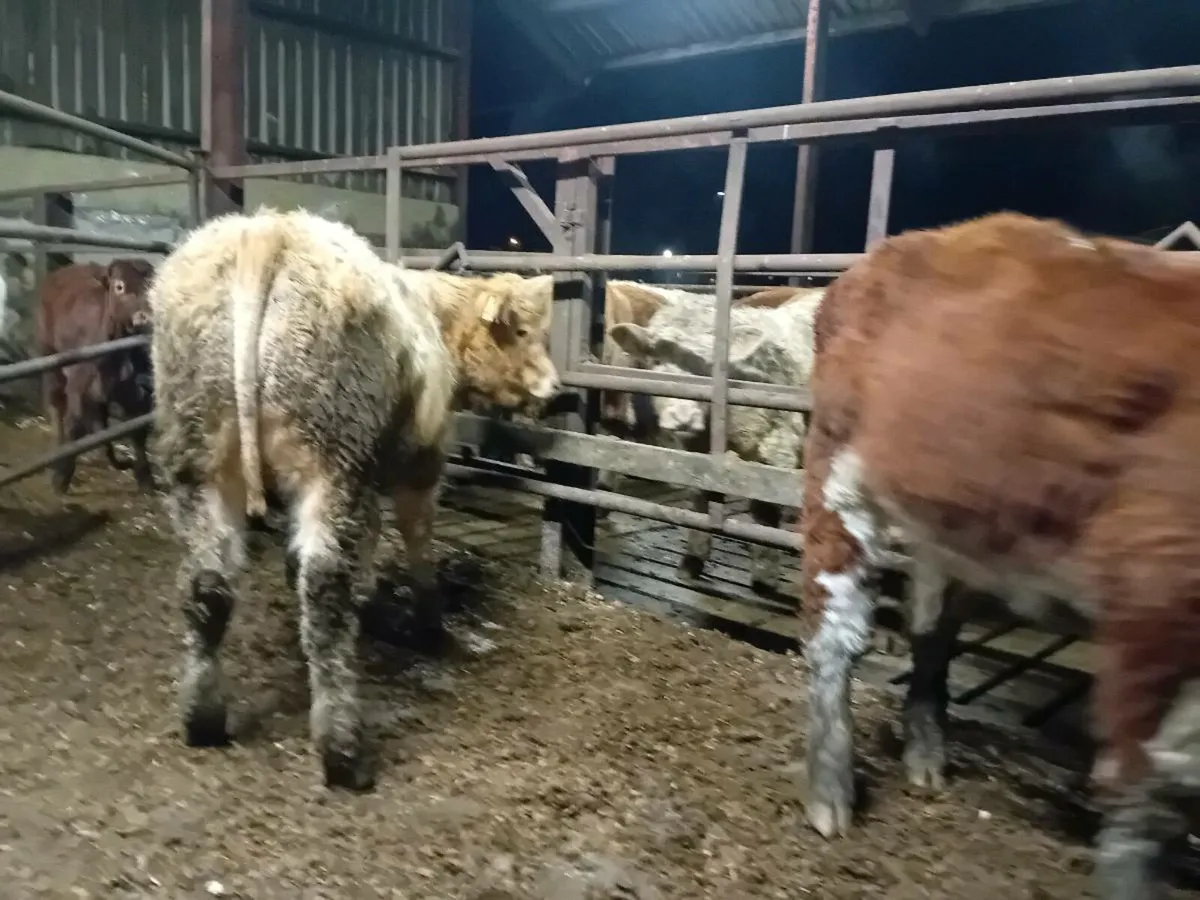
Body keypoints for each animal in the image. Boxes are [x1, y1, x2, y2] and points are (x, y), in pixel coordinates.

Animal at [35, 258, 157, 494]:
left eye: (152, 286)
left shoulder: (136, 393)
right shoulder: (78, 386)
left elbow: (138, 432)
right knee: (57, 408)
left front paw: (144, 476)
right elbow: (74, 427)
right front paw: (62, 475)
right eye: (120, 286)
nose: (144, 318)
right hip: (50, 359)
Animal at [148, 208, 558, 791]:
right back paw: (342, 749)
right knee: (325, 591)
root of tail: (269, 229)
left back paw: (203, 718)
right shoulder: (419, 464)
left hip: (200, 459)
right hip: (333, 465)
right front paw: (428, 623)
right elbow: (416, 540)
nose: (556, 389)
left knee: (209, 587)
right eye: (523, 332)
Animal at [607, 288, 822, 593]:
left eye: (709, 365)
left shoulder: (778, 446)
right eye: (655, 360)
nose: (682, 416)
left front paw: (764, 580)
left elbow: (765, 509)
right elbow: (701, 496)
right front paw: (691, 563)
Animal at [800, 211, 1200, 899]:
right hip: (839, 472)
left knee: (933, 627)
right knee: (837, 631)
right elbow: (1148, 781)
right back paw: (831, 789)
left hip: (947, 517)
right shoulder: (1158, 580)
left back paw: (925, 753)